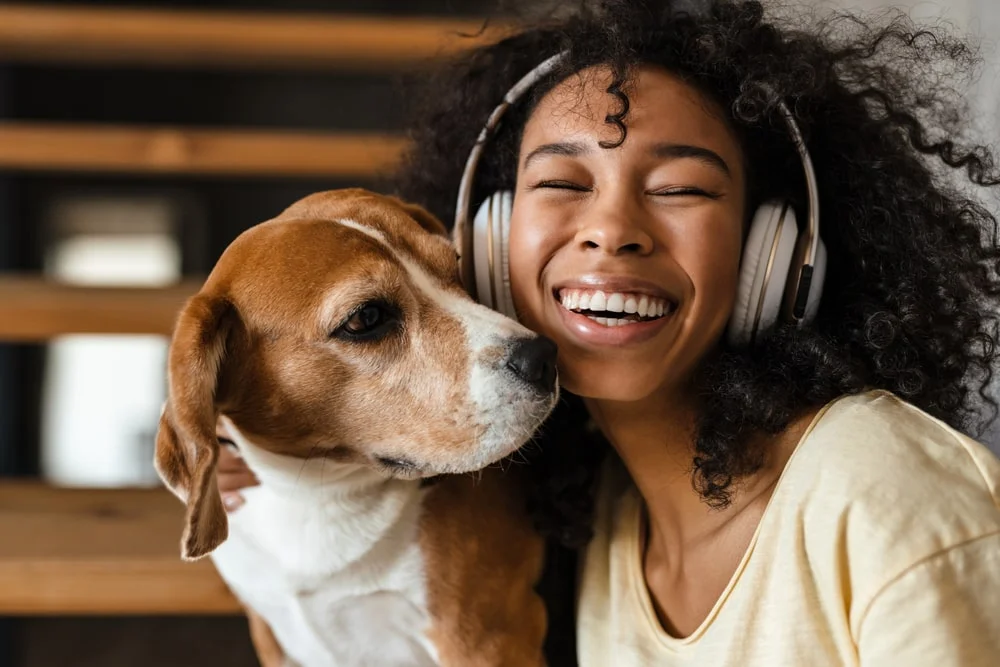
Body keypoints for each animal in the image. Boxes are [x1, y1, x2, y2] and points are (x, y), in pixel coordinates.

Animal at [155, 189, 556, 667]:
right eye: (366, 318)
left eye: (455, 266)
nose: (544, 358)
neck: (317, 495)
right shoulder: (270, 635)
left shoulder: (487, 639)